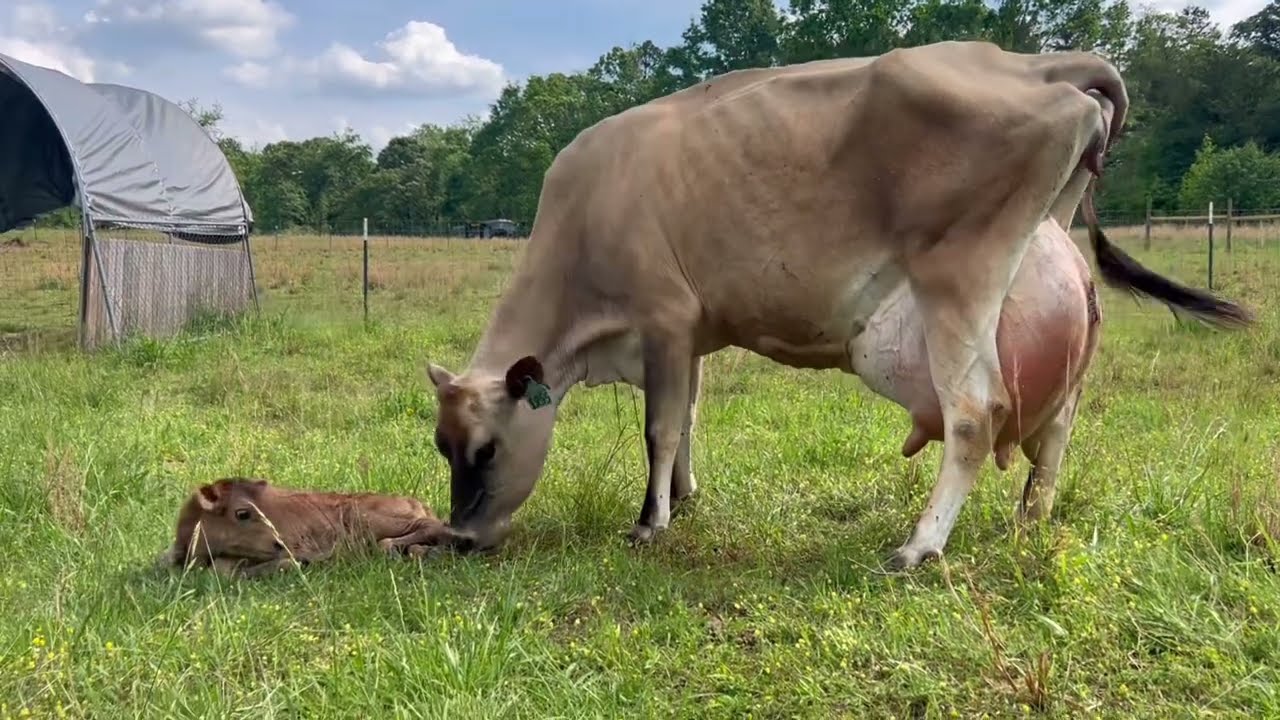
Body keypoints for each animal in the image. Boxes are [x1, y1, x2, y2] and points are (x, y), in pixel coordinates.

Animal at [422, 41, 1254, 570]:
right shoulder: (693, 335)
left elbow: (658, 430)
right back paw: (1028, 525)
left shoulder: (663, 318)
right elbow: (687, 419)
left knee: (976, 412)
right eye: (440, 446)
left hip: (959, 278)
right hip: (1047, 273)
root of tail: (1034, 61)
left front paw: (650, 523)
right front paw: (684, 500)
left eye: (485, 450)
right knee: (1054, 430)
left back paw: (920, 546)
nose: (458, 536)